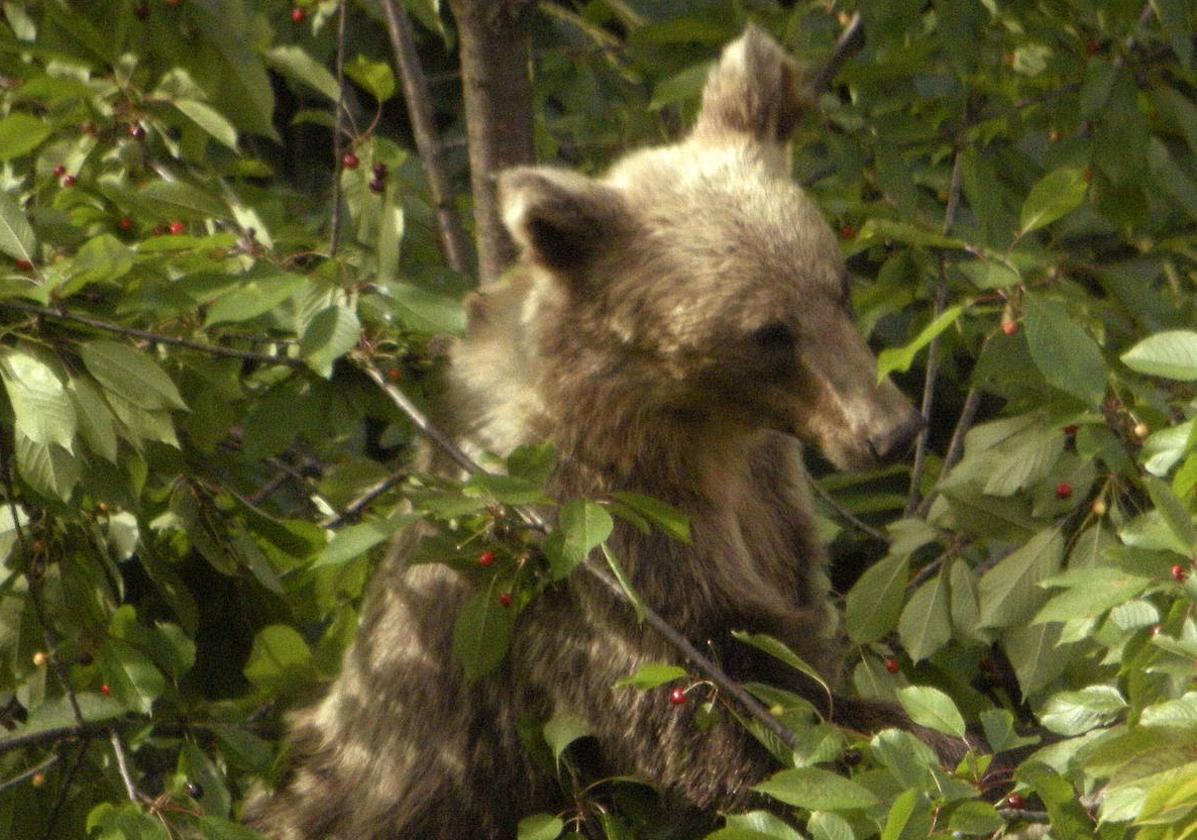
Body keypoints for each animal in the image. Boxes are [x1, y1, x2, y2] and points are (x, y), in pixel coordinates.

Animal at [247, 26, 928, 840]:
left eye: (838, 286)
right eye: (769, 333)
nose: (889, 430)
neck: (695, 425)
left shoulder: (767, 495)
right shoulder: (600, 533)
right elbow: (717, 691)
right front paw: (909, 736)